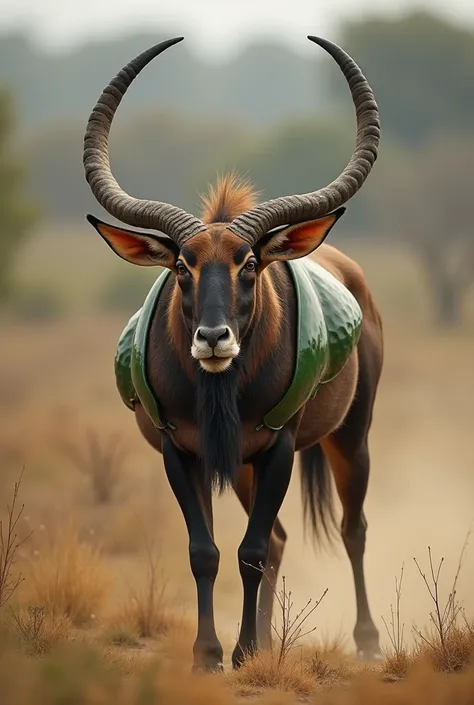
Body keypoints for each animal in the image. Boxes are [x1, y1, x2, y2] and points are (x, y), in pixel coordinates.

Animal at [83, 34, 384, 672]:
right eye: (181, 265)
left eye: (248, 263)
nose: (213, 338)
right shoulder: (182, 451)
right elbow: (207, 550)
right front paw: (211, 654)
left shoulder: (280, 449)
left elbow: (248, 551)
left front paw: (243, 651)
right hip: (244, 467)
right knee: (281, 539)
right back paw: (267, 641)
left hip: (350, 437)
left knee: (352, 528)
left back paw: (367, 642)